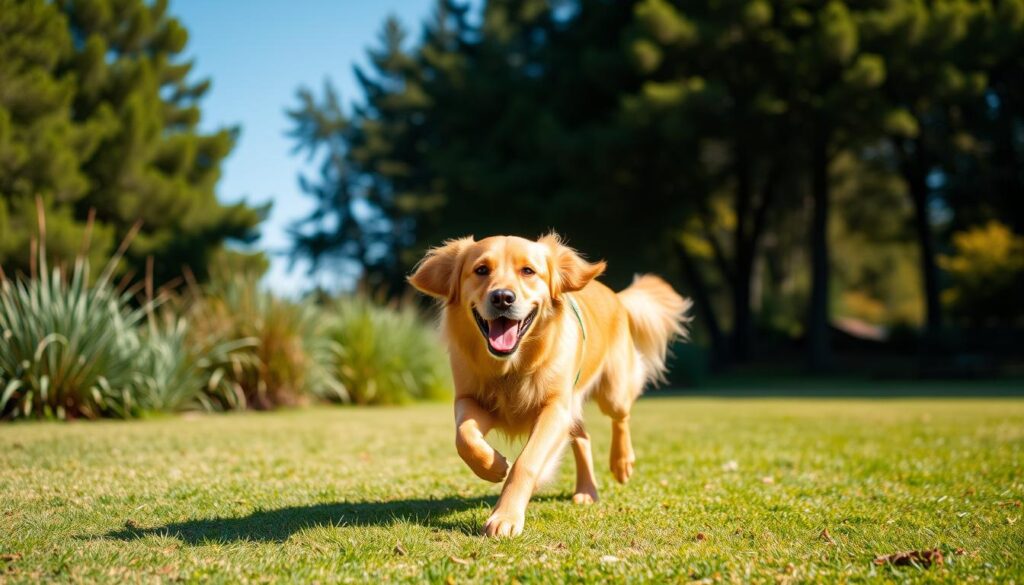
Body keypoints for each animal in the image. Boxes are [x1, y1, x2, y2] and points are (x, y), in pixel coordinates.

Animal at [407, 235, 688, 536]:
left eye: (528, 271)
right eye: (481, 270)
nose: (502, 297)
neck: (512, 367)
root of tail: (615, 296)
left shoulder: (554, 409)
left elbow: (526, 463)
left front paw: (505, 517)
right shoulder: (471, 399)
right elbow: (464, 437)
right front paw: (493, 465)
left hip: (613, 392)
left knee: (621, 418)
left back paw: (621, 463)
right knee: (583, 437)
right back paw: (587, 490)